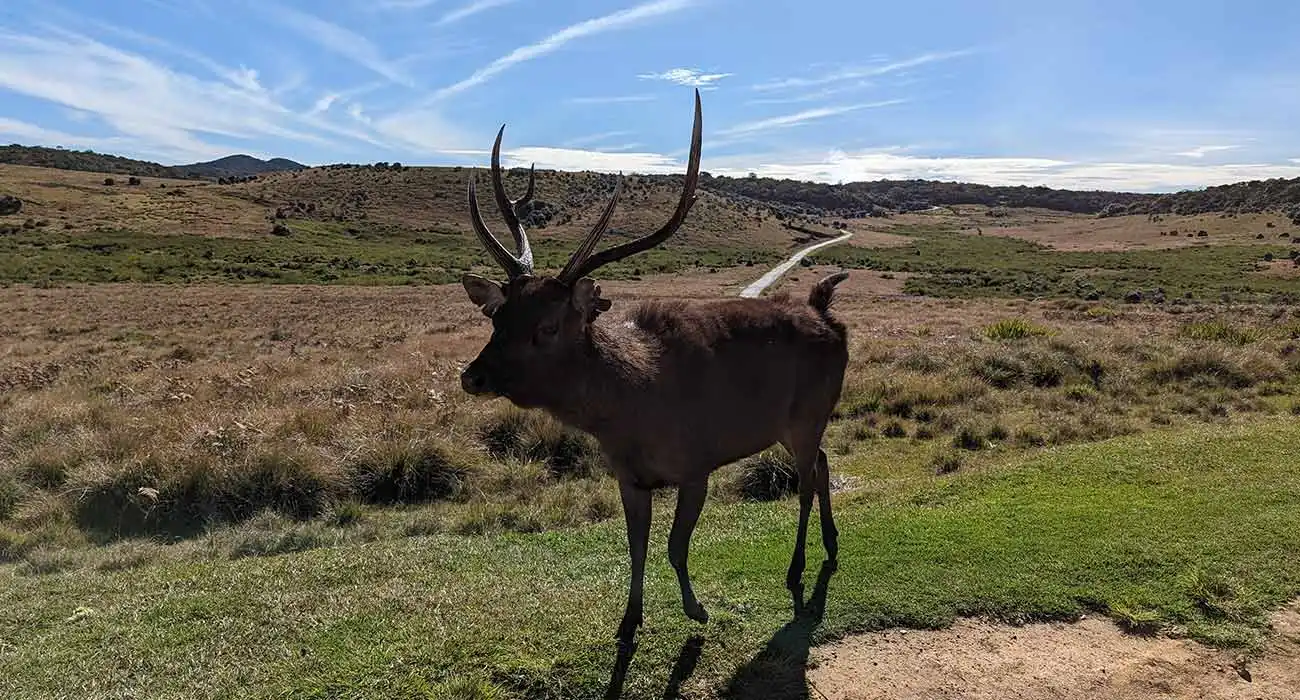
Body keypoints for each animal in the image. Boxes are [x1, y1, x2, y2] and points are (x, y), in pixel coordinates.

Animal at [457, 88, 852, 642]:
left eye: (548, 327)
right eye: (497, 316)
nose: (472, 376)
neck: (630, 412)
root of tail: (828, 313)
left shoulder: (697, 464)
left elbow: (674, 548)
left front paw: (696, 610)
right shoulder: (628, 478)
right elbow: (636, 549)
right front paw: (629, 620)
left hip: (810, 413)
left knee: (806, 481)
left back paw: (796, 570)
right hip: (788, 423)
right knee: (823, 463)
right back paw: (832, 546)